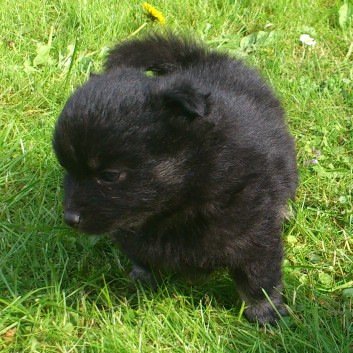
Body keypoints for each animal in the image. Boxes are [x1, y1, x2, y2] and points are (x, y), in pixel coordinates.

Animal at [53, 34, 296, 324]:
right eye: (66, 168)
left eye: (109, 175)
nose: (70, 219)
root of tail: (201, 58)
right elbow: (140, 256)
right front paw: (142, 280)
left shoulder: (252, 230)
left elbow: (258, 277)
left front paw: (265, 312)